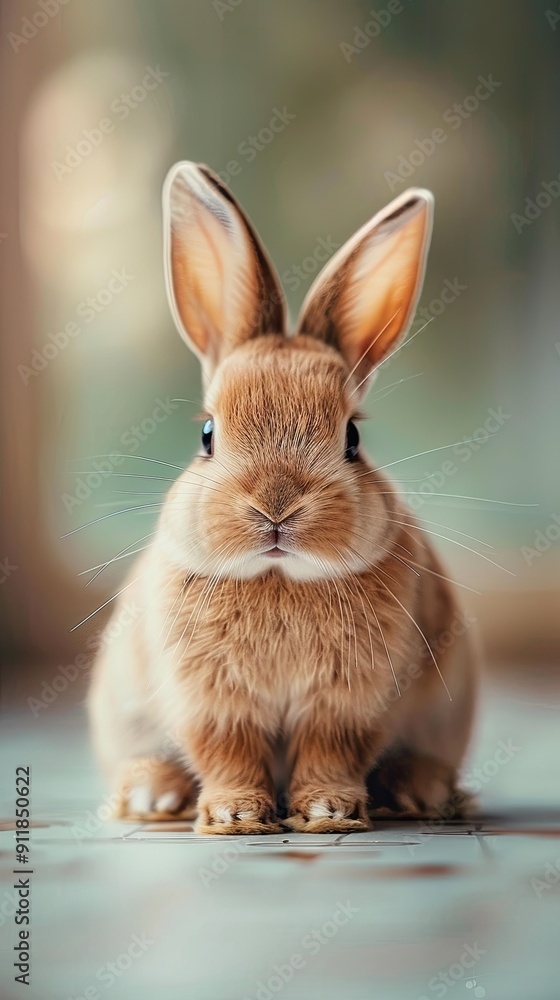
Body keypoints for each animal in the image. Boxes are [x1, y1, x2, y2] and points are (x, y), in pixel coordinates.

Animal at [87, 162, 478, 835]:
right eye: (206, 434)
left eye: (352, 438)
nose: (276, 508)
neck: (280, 577)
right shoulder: (211, 702)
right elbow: (228, 752)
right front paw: (237, 816)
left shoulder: (349, 705)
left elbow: (330, 751)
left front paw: (326, 810)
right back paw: (151, 795)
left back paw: (420, 792)